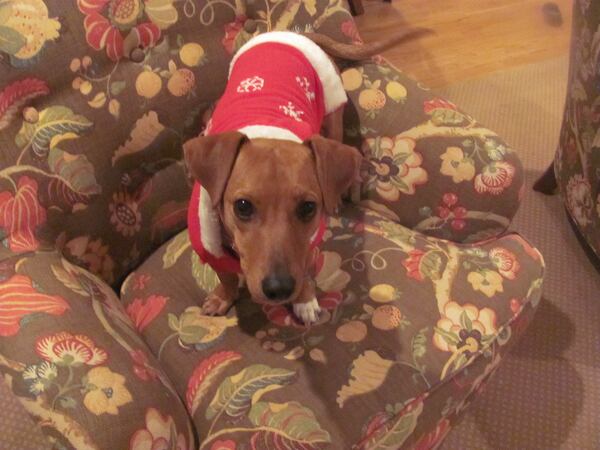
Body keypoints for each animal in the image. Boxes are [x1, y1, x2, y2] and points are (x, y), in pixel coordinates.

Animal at [184, 28, 432, 326]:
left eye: (308, 208)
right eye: (242, 207)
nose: (279, 289)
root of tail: (294, 34)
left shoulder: (309, 242)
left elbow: (304, 266)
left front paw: (304, 299)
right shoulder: (209, 248)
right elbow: (227, 277)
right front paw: (223, 296)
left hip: (333, 113)